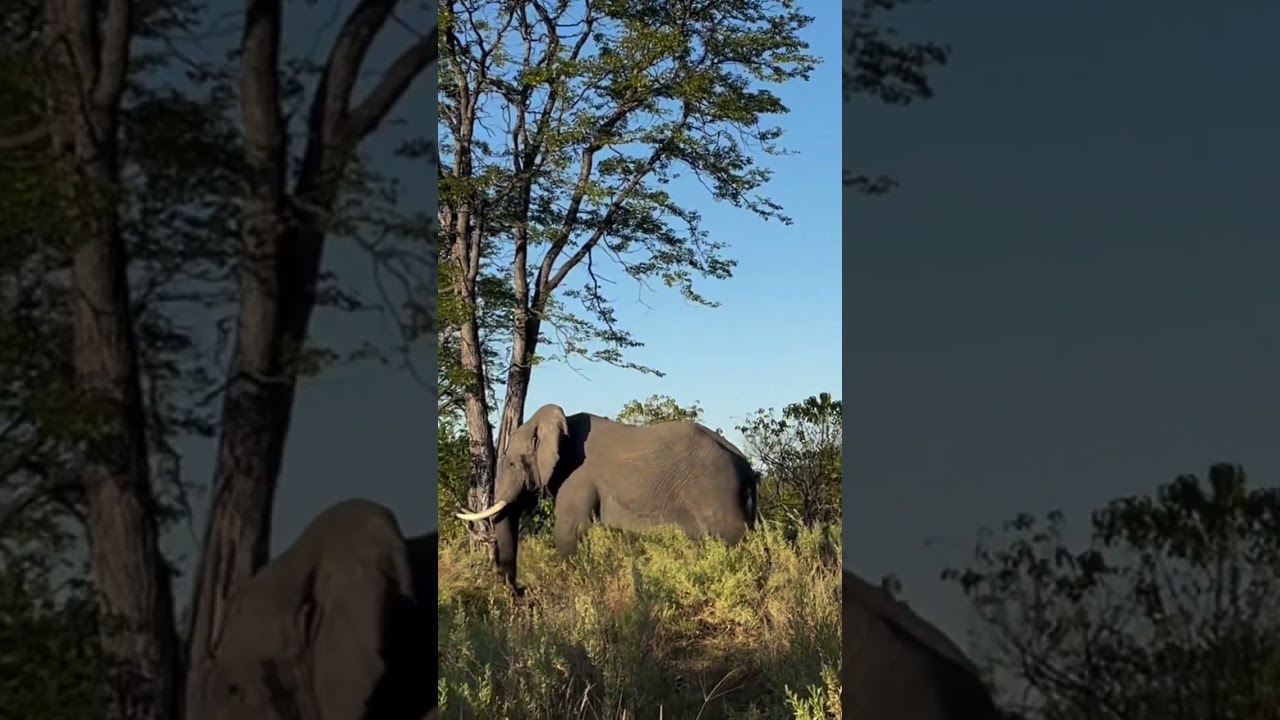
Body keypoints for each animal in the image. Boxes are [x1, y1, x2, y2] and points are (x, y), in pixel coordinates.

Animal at [456, 403, 758, 589]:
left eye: (510, 464)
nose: (519, 591)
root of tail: (746, 466)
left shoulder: (577, 475)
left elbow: (568, 533)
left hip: (715, 493)